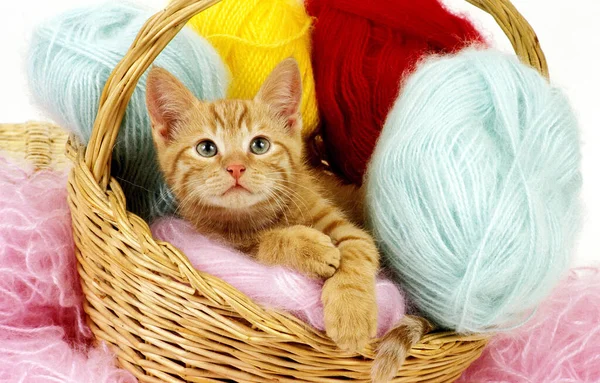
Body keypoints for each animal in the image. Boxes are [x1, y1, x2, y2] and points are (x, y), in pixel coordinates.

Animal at [147, 58, 428, 382]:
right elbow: (266, 243)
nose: (236, 168)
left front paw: (351, 314)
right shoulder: (227, 244)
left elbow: (356, 254)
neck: (257, 215)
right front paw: (310, 249)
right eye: (206, 148)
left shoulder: (348, 230)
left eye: (259, 145)